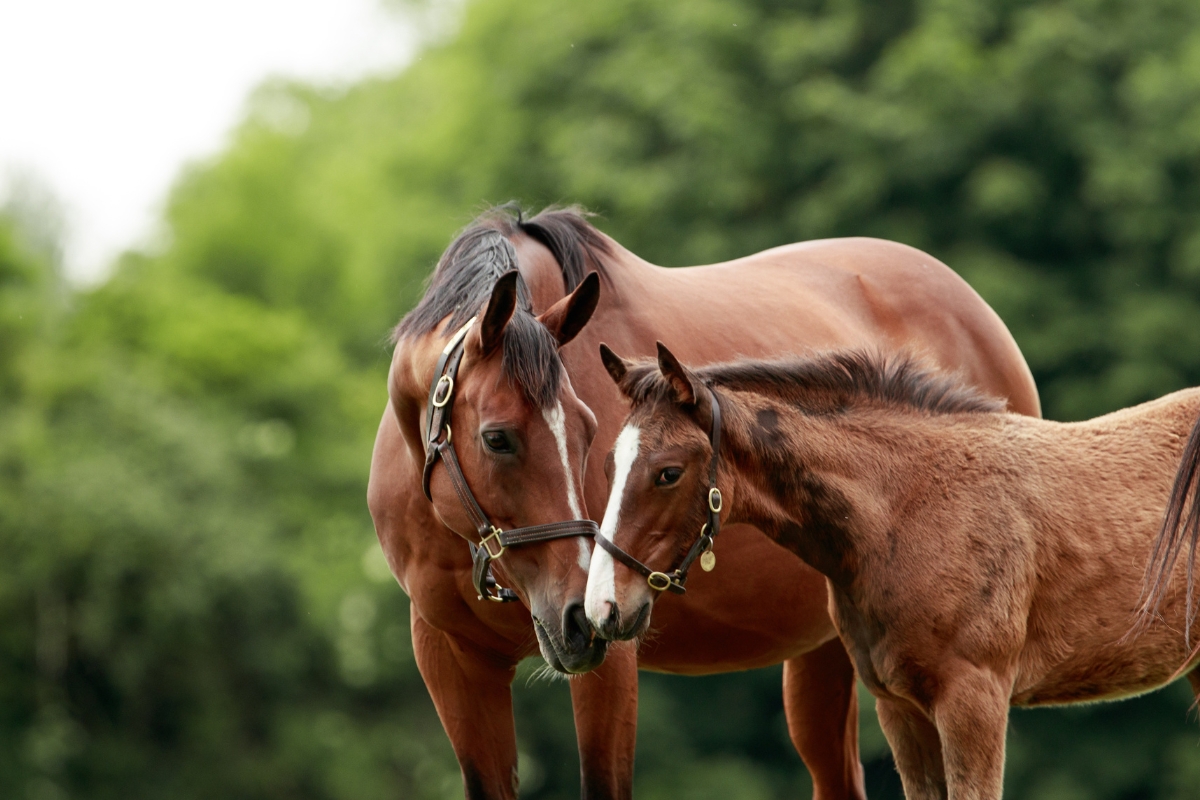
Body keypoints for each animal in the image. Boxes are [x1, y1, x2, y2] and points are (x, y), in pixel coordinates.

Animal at [585, 344, 1200, 800]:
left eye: (668, 472)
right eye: (611, 464)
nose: (603, 608)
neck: (906, 508)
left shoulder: (974, 699)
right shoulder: (899, 708)